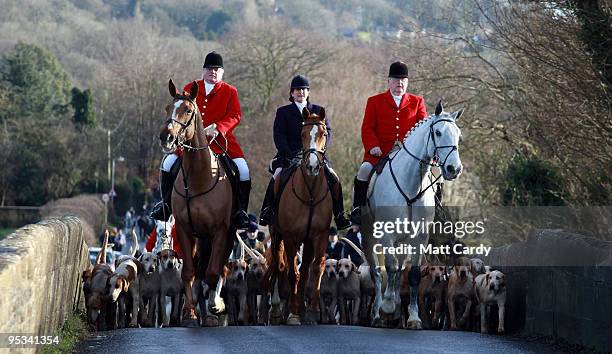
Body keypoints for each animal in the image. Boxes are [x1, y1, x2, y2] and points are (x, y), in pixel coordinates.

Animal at [158, 79, 234, 326]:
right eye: (167, 108)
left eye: (188, 110)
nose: (167, 138)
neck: (199, 177)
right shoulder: (184, 228)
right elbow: (189, 272)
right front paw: (190, 313)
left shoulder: (220, 231)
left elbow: (212, 272)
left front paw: (213, 309)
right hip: (200, 237)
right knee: (199, 270)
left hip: (225, 236)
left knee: (221, 269)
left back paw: (214, 305)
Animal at [268, 107, 334, 324]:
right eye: (302, 134)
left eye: (323, 134)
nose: (312, 166)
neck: (310, 192)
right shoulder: (290, 237)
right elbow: (292, 274)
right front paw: (294, 313)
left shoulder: (319, 235)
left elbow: (316, 269)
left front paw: (312, 311)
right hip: (277, 236)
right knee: (281, 267)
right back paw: (281, 310)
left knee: (304, 270)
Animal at [360, 101, 462, 328]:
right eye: (438, 132)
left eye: (458, 135)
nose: (454, 169)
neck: (411, 185)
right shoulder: (387, 233)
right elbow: (389, 267)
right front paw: (387, 306)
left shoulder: (420, 237)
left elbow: (413, 274)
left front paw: (414, 317)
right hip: (370, 237)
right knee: (378, 272)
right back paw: (379, 313)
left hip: (403, 241)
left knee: (399, 271)